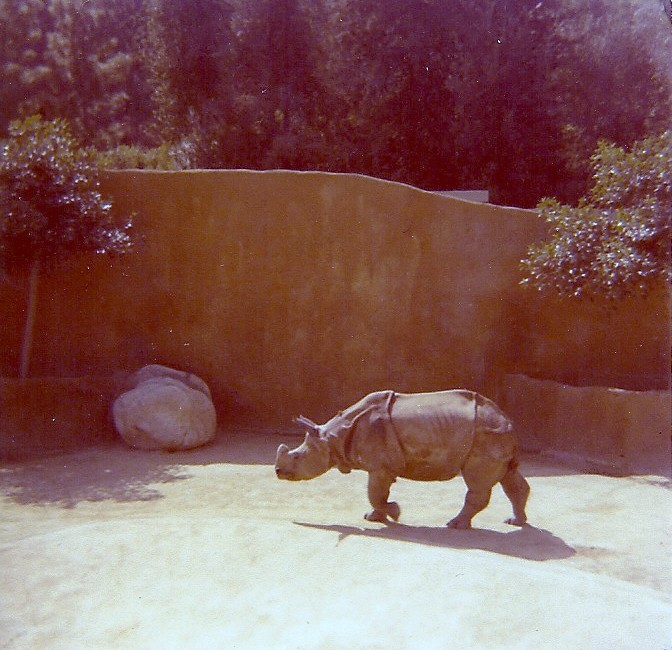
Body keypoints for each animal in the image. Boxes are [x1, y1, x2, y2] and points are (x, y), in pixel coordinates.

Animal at [275, 389, 530, 529]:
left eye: (297, 457)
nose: (277, 472)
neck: (333, 437)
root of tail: (507, 419)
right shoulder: (383, 466)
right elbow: (378, 493)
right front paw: (374, 517)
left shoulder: (380, 466)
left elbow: (375, 493)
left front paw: (394, 513)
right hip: (495, 435)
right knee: (509, 476)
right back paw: (514, 521)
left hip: (485, 435)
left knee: (477, 482)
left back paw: (455, 525)